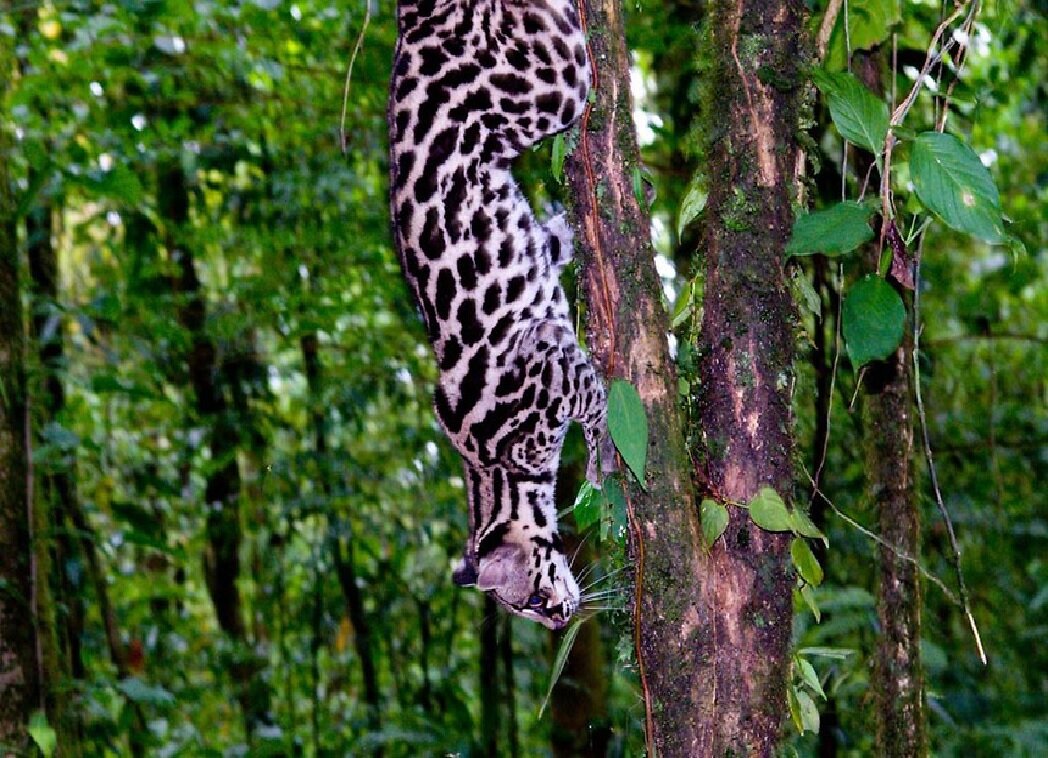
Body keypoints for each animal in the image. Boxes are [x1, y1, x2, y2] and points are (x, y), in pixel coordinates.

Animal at [389, 0, 612, 629]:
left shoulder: (550, 365)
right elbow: (553, 241)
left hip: (553, 85)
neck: (493, 474)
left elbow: (596, 402)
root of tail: (415, 24)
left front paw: (600, 461)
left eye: (532, 601)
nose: (560, 621)